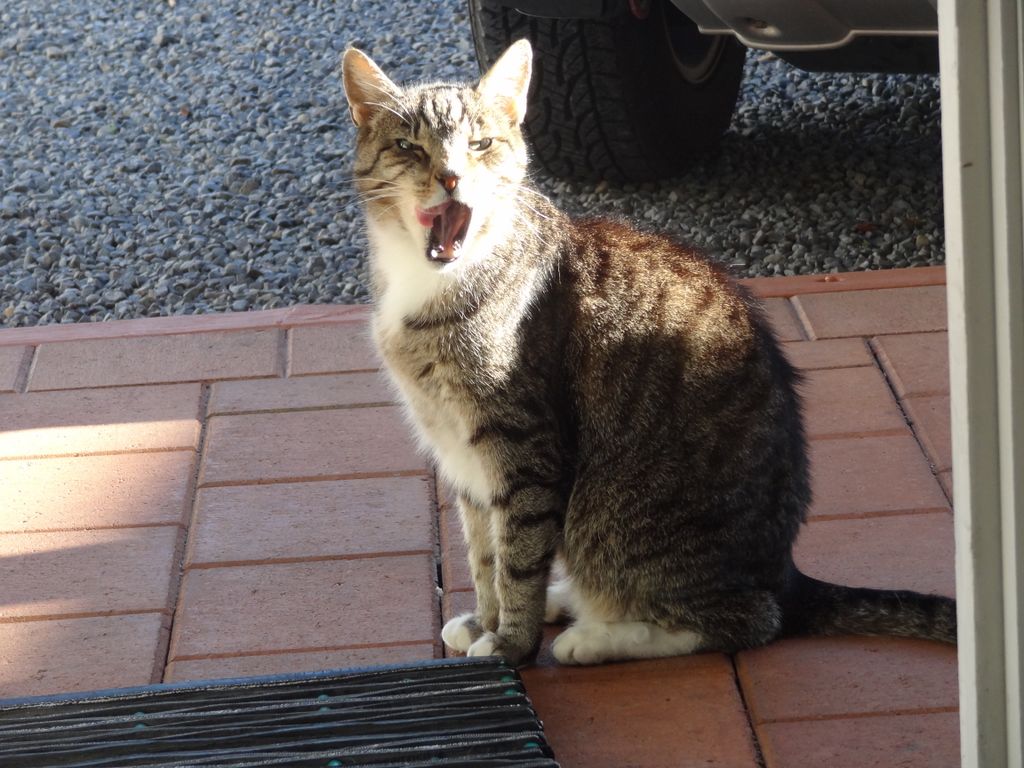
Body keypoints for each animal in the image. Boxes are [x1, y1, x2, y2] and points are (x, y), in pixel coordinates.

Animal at [341, 39, 956, 666]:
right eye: (409, 147)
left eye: (480, 144)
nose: (449, 176)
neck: (434, 281)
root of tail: (785, 574)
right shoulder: (459, 456)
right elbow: (483, 552)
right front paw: (486, 620)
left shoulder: (524, 448)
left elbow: (518, 558)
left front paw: (511, 644)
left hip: (617, 519)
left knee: (744, 620)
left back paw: (595, 638)